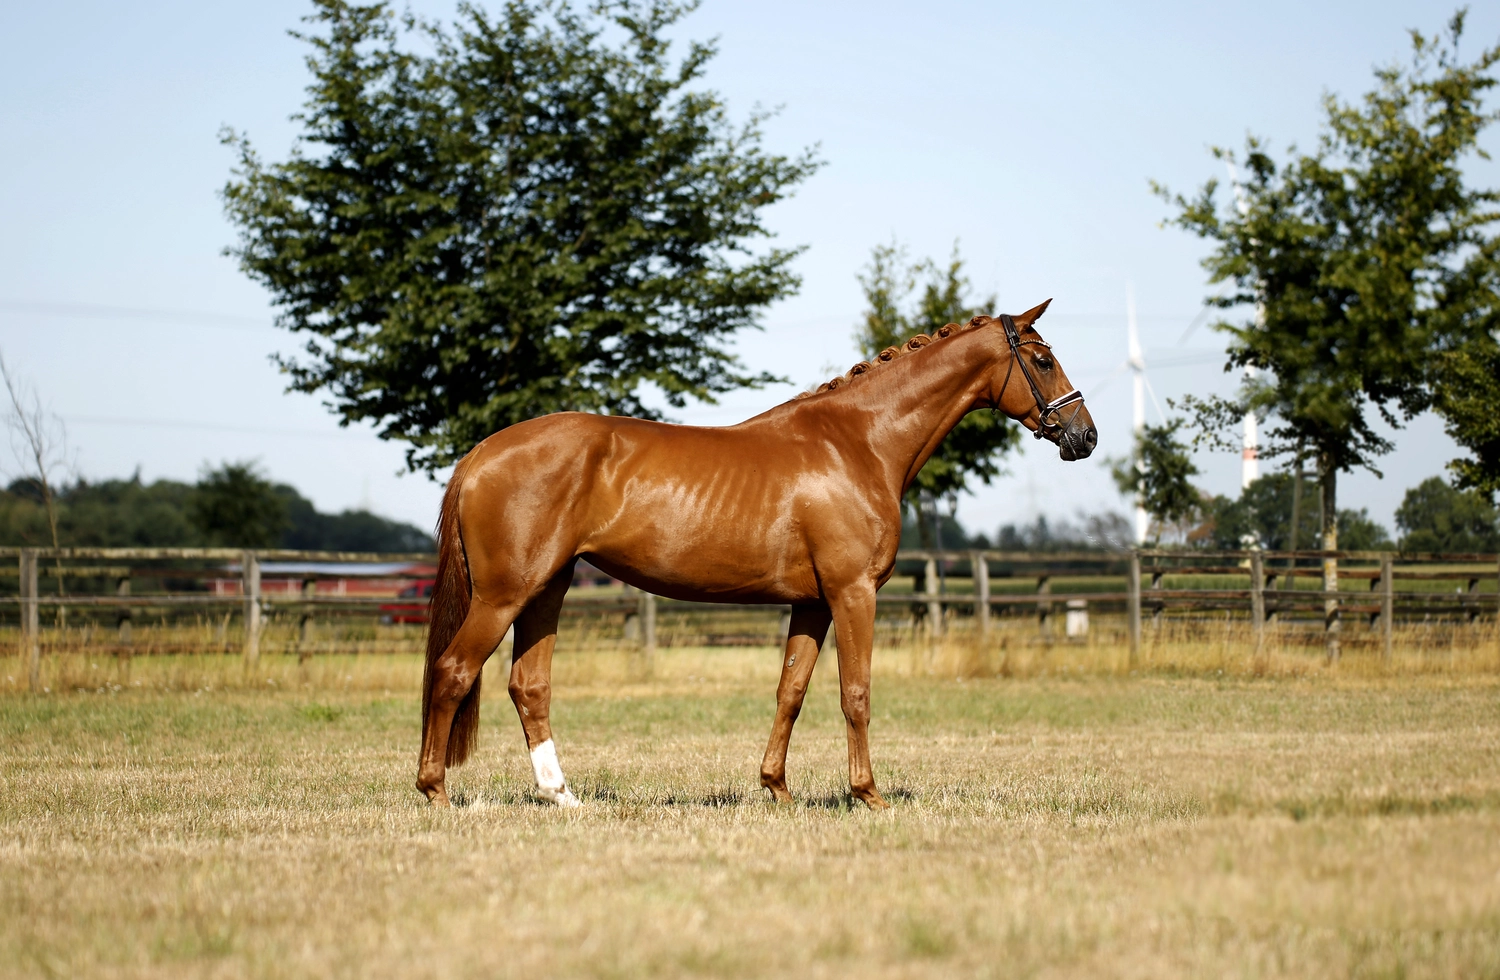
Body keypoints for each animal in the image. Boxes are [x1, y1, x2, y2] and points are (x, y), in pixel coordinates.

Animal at [416, 300, 1095, 809]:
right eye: (1042, 359)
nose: (1084, 436)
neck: (857, 443)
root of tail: (481, 452)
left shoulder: (812, 604)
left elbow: (790, 691)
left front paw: (777, 789)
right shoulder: (853, 593)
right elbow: (856, 692)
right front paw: (868, 795)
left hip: (546, 589)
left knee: (528, 685)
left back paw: (562, 796)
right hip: (504, 594)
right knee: (454, 671)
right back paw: (436, 792)